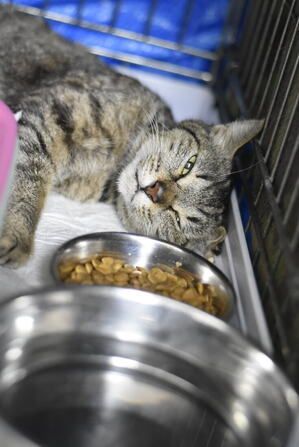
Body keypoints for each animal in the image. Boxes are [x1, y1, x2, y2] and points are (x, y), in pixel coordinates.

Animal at [0, 6, 264, 266]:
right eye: (188, 166)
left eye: (178, 218)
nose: (155, 191)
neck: (113, 163)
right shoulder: (51, 113)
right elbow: (28, 181)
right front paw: (18, 233)